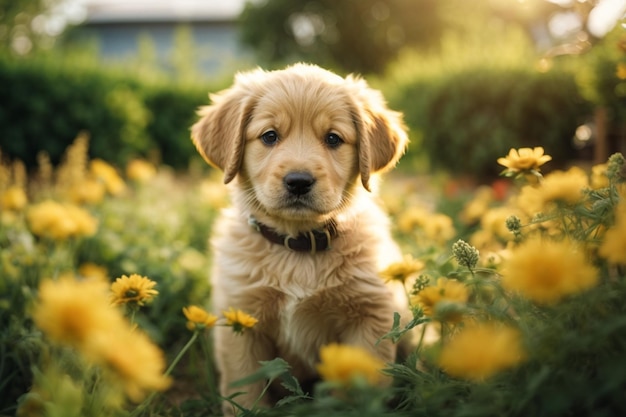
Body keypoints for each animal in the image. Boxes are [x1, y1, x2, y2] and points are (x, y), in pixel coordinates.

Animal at [193, 63, 412, 414]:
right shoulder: (241, 321)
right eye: (270, 136)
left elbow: (362, 384)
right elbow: (245, 388)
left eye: (333, 138)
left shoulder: (370, 317)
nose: (298, 181)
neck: (298, 245)